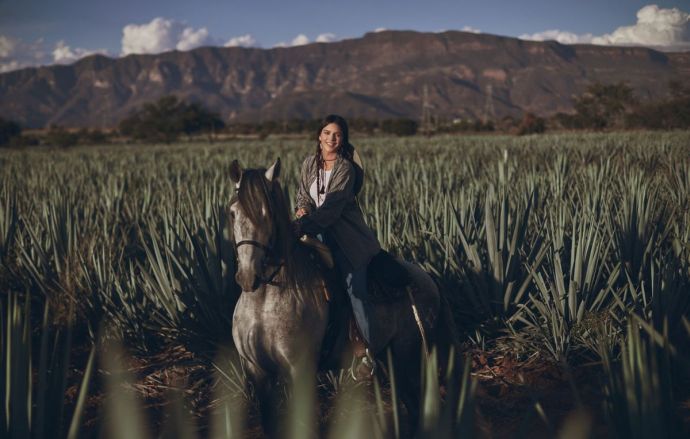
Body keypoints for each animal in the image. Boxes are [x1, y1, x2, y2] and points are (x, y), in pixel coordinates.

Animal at [228, 159, 456, 436]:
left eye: (267, 213)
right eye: (233, 212)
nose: (248, 276)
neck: (266, 301)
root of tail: (427, 277)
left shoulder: (299, 371)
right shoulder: (257, 373)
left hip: (406, 356)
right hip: (389, 357)